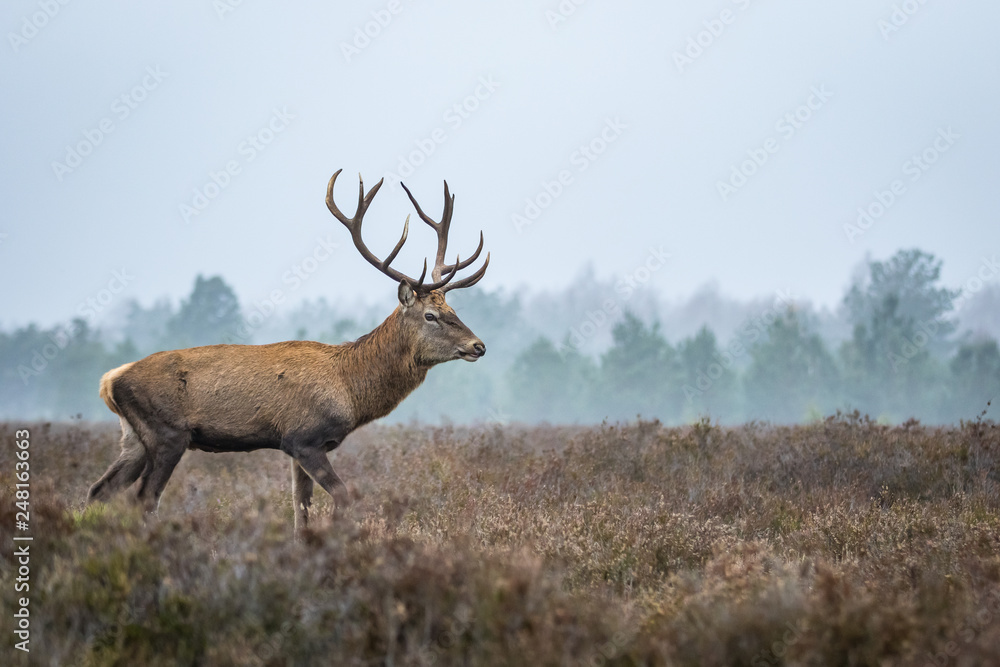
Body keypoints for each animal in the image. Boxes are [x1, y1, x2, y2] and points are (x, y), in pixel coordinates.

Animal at [88, 170, 486, 536]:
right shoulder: (303, 437)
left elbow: (300, 508)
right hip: (167, 434)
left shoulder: (296, 447)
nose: (478, 346)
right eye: (431, 315)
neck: (351, 389)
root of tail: (110, 381)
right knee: (144, 497)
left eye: (453, 310)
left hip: (134, 437)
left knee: (100, 490)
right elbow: (342, 497)